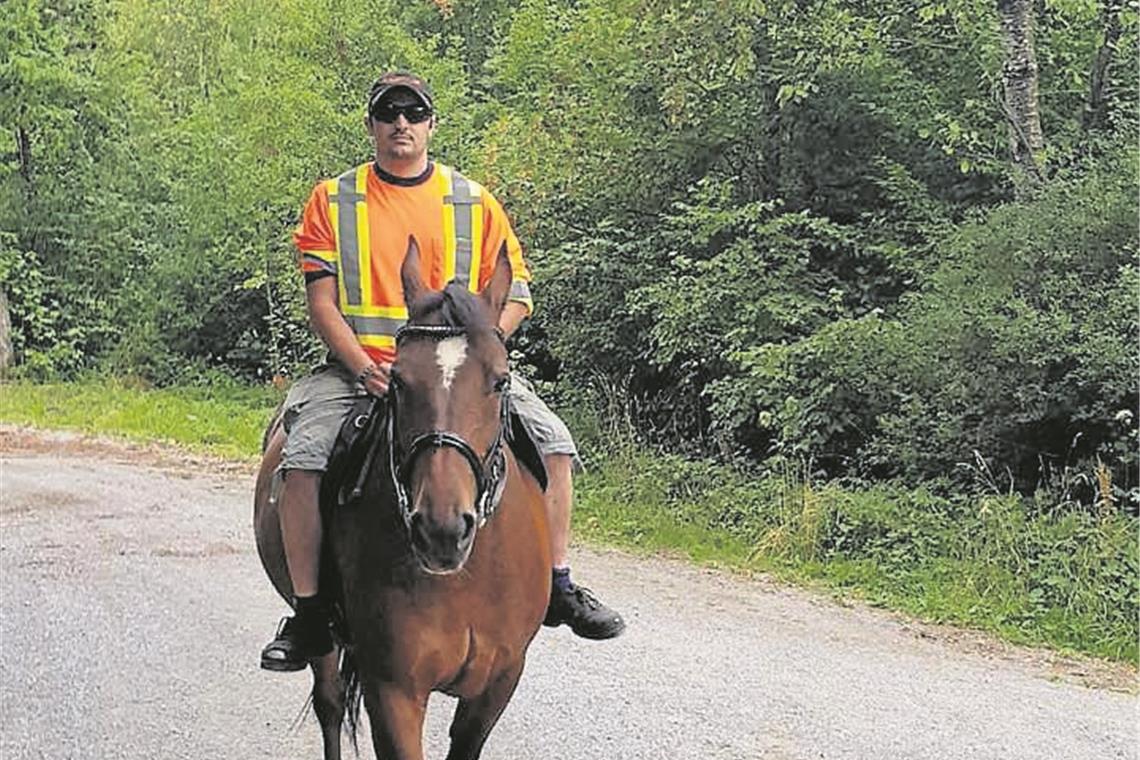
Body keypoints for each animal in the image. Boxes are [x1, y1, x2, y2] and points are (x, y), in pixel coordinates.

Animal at [253, 243, 551, 760]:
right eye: (397, 381)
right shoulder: (393, 690)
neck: (468, 577)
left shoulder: (498, 682)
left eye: (500, 380)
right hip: (326, 640)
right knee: (330, 703)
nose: (441, 530)